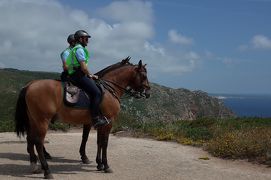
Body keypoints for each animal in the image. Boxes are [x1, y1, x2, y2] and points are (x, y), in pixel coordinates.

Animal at [14, 58, 151, 179]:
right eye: (144, 75)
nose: (148, 92)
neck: (109, 89)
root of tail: (29, 86)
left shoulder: (100, 123)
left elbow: (98, 142)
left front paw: (99, 164)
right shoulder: (108, 122)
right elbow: (104, 143)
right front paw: (106, 165)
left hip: (33, 120)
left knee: (30, 139)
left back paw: (34, 166)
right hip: (42, 121)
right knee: (38, 142)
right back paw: (47, 171)